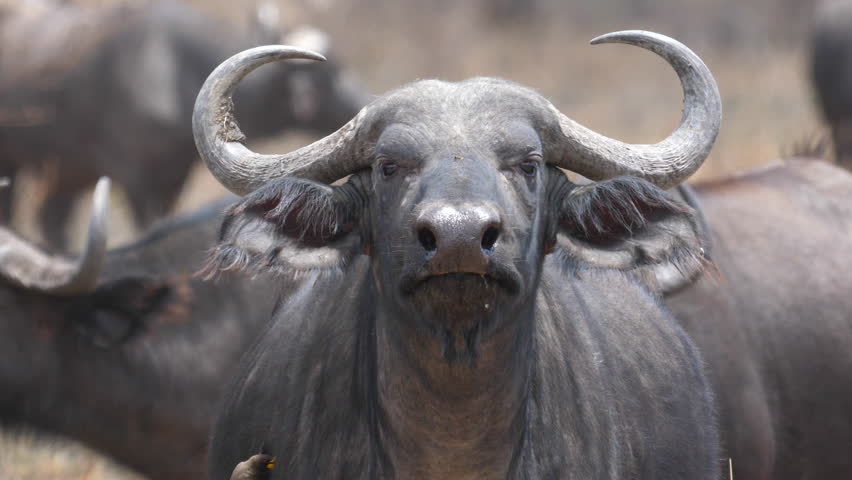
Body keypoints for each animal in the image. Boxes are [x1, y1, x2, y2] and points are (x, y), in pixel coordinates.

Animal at [0, 0, 364, 248]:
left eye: (342, 66)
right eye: (329, 76)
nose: (360, 101)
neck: (171, 65)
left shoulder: (175, 175)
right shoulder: (133, 175)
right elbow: (147, 226)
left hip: (69, 172)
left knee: (51, 217)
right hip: (18, 168)